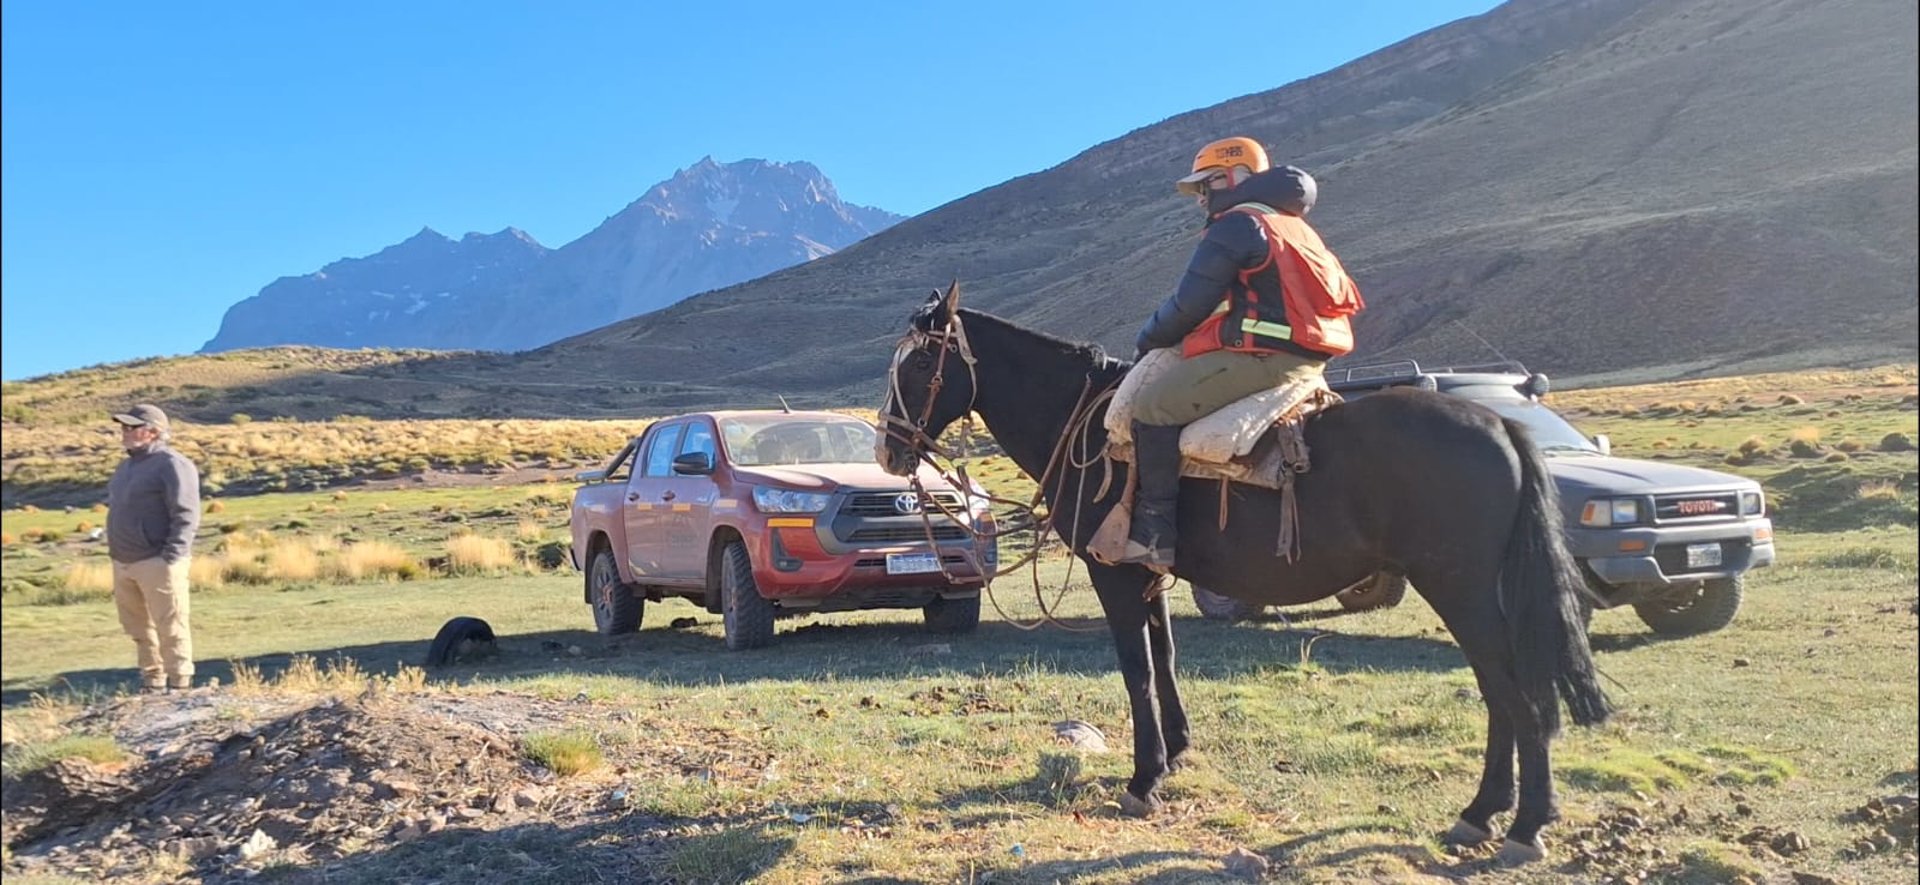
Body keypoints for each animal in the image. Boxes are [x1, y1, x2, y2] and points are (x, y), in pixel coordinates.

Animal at [879, 284, 1612, 863]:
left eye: (920, 362)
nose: (889, 448)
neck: (1080, 421)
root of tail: (1500, 425)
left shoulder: (1113, 575)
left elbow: (1136, 668)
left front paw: (1144, 780)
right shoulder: (1148, 572)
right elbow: (1165, 657)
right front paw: (1176, 753)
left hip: (1460, 589)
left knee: (1514, 692)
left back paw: (1519, 824)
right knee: (1506, 691)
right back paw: (1485, 814)